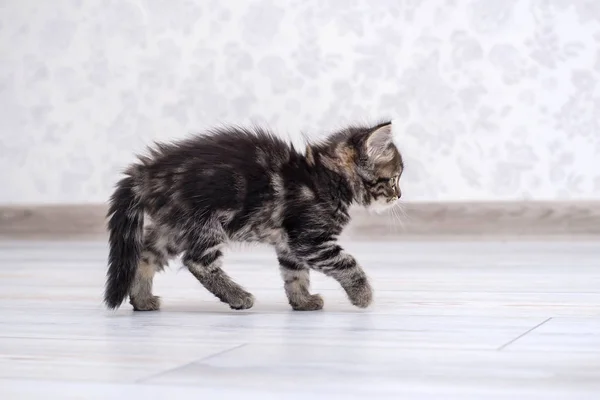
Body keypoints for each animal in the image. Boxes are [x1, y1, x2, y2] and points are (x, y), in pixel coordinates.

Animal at [104, 122, 404, 312]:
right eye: (393, 180)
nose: (399, 195)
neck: (326, 177)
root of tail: (147, 172)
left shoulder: (290, 243)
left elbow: (295, 275)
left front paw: (303, 302)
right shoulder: (311, 240)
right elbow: (348, 263)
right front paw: (363, 295)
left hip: (172, 228)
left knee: (145, 255)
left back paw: (142, 301)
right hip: (204, 222)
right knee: (197, 262)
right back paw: (238, 297)